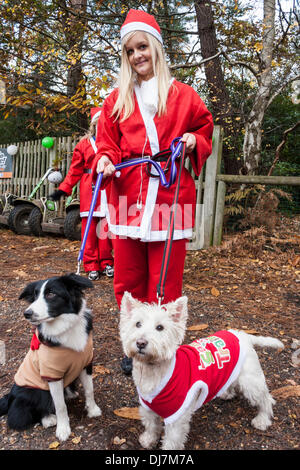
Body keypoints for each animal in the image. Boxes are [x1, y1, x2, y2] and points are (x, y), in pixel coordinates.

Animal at [0, 274, 101, 442]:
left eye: (51, 294)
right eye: (34, 296)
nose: (27, 313)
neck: (65, 328)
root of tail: (10, 397)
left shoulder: (86, 364)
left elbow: (89, 390)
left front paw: (93, 410)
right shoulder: (52, 374)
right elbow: (60, 406)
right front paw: (63, 429)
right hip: (34, 391)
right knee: (21, 416)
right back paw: (48, 419)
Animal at [119, 292, 284, 450]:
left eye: (160, 327)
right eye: (138, 324)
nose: (141, 343)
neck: (153, 371)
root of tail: (242, 335)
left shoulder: (177, 417)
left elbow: (172, 441)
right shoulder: (148, 408)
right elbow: (151, 426)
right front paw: (148, 440)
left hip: (251, 382)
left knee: (266, 399)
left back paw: (262, 420)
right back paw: (227, 393)